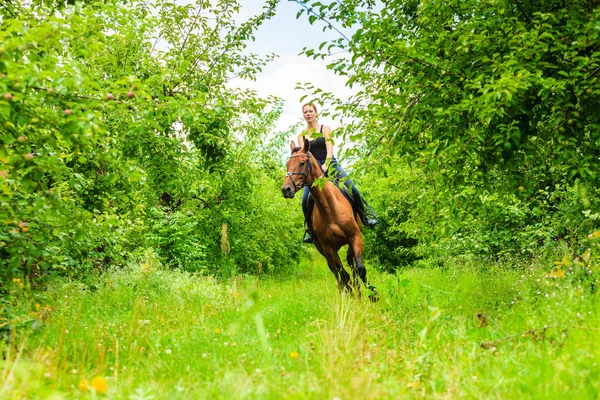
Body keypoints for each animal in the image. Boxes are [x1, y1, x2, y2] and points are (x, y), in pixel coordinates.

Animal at [282, 139, 380, 298]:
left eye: (302, 163)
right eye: (287, 164)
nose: (286, 189)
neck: (330, 208)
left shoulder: (355, 237)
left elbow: (360, 268)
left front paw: (372, 295)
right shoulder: (328, 247)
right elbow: (343, 274)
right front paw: (351, 295)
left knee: (351, 264)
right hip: (323, 249)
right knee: (337, 273)